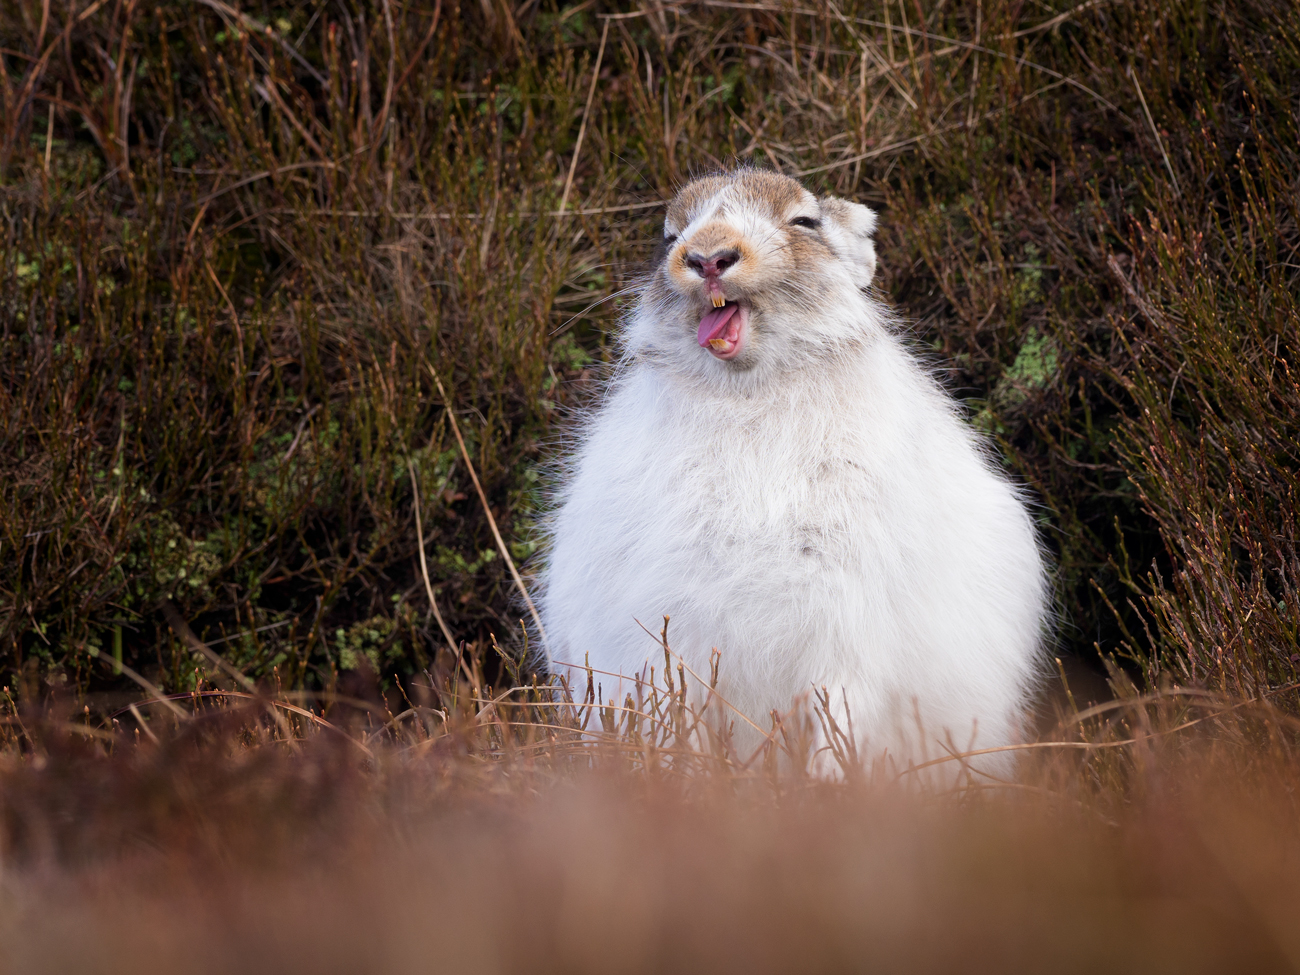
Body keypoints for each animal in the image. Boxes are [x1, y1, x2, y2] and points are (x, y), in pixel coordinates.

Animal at [535, 167, 1050, 779]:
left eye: (805, 222)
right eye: (669, 236)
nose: (708, 256)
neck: (750, 390)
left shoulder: (847, 625)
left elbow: (840, 715)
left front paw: (830, 786)